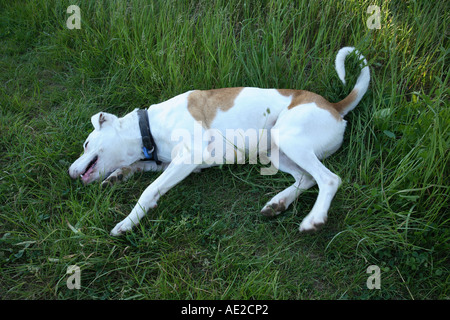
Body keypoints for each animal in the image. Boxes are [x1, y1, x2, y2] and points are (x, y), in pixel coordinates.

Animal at [67, 48, 370, 238]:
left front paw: (127, 222)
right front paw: (118, 175)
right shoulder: (175, 163)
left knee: (328, 179)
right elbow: (139, 169)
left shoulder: (189, 156)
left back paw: (314, 219)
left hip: (287, 137)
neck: (148, 127)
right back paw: (278, 203)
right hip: (275, 152)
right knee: (306, 178)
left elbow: (149, 190)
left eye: (86, 143)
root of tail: (334, 107)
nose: (70, 172)